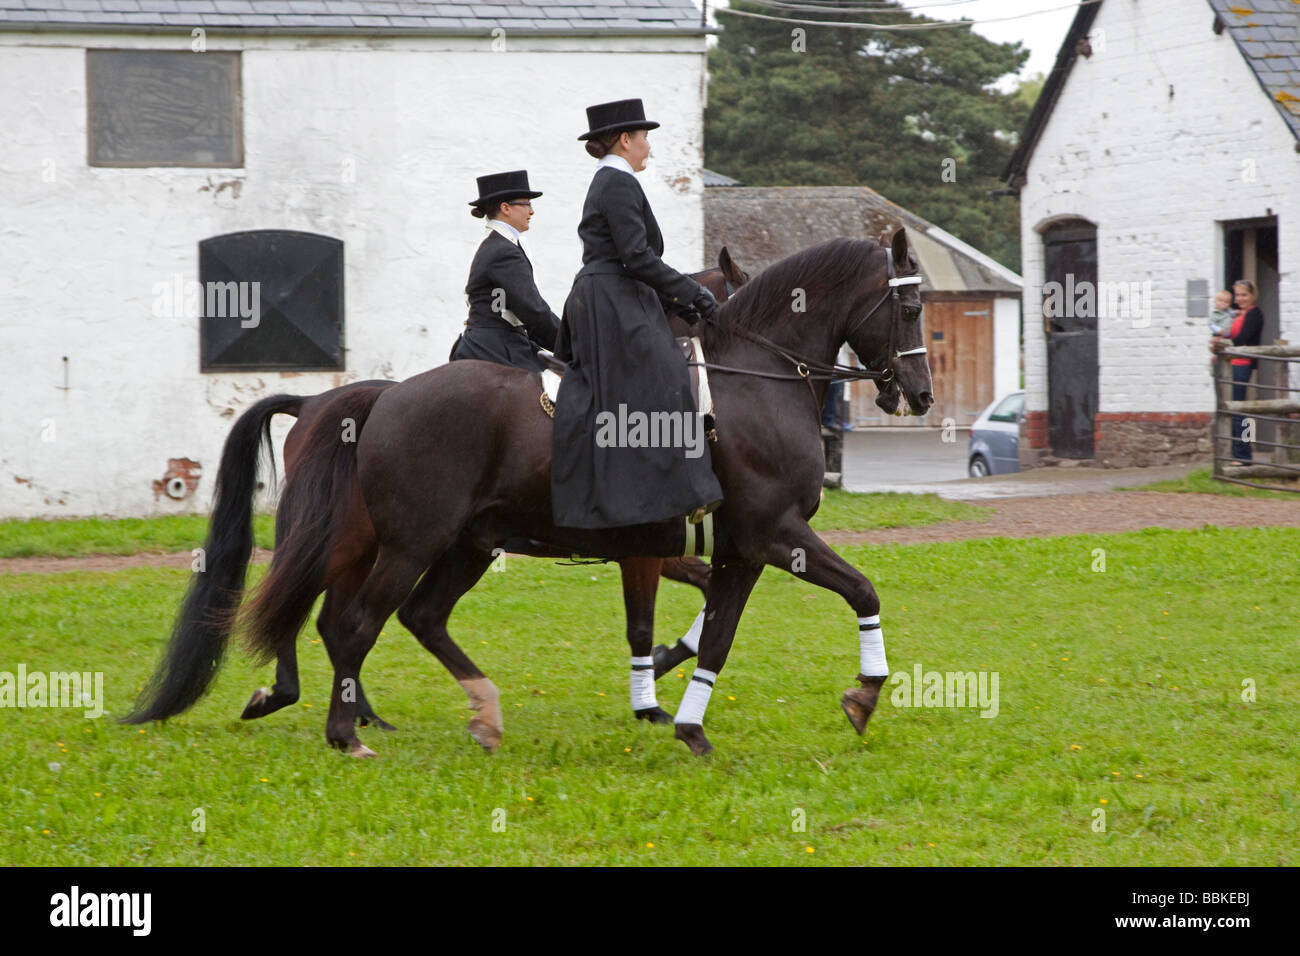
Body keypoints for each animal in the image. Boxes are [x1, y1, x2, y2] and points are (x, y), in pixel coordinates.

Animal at [128, 251, 754, 738]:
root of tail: (316, 405)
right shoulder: (646, 548)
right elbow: (664, 611)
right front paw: (658, 684)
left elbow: (696, 596)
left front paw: (666, 670)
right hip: (367, 540)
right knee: (303, 600)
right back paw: (298, 700)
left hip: (373, 546)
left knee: (327, 615)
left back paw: (360, 714)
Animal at [200, 226, 935, 754]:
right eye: (910, 306)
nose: (922, 395)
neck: (753, 381)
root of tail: (378, 399)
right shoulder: (774, 535)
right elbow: (861, 591)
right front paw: (864, 695)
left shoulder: (729, 549)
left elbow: (708, 636)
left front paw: (681, 720)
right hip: (406, 543)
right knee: (349, 622)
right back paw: (342, 730)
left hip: (461, 545)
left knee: (412, 617)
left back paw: (468, 712)